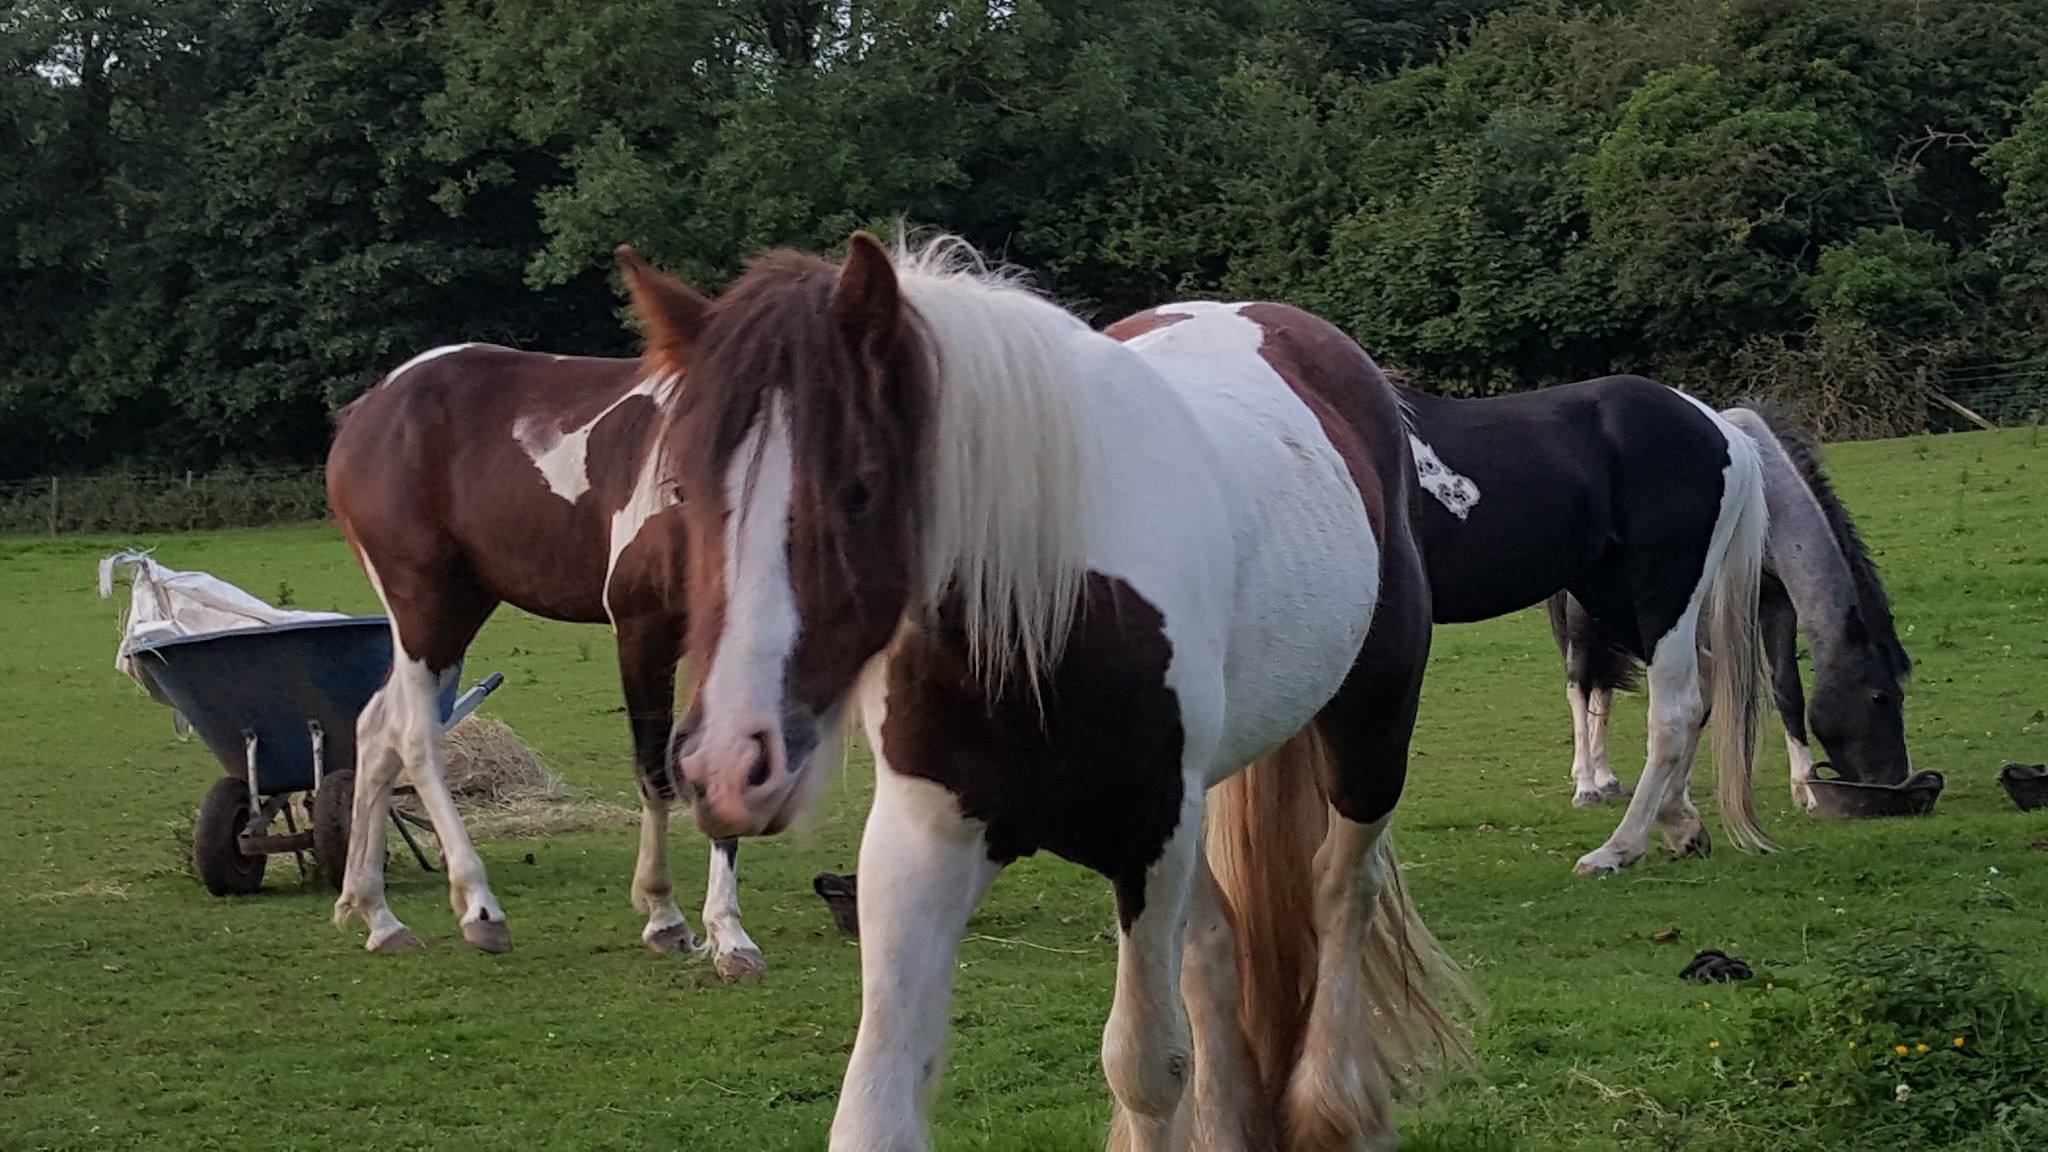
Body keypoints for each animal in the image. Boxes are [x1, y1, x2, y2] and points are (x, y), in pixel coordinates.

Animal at [323, 343, 766, 977]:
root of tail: (371, 407)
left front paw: (729, 935)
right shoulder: (644, 629)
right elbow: (655, 771)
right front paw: (666, 916)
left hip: (457, 610)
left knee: (375, 729)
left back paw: (378, 916)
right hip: (425, 609)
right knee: (413, 736)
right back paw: (479, 908)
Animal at [628, 231, 1469, 1150]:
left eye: (859, 489)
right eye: (683, 490)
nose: (724, 765)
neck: (1046, 616)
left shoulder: (1148, 835)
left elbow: (1145, 1067)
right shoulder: (923, 839)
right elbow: (877, 1103)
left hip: (1369, 733)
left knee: (1340, 892)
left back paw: (1335, 1106)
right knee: (1218, 948)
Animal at [1396, 376, 1775, 874]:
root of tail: (1721, 430)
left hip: (1662, 596)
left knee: (1674, 713)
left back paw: (1617, 849)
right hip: (1612, 602)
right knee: (1703, 684)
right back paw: (1679, 822)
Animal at [1547, 403, 1912, 813]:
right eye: (1879, 697)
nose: (1895, 781)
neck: (1766, 495)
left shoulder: (1776, 602)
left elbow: (1787, 688)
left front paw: (1804, 786)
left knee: (1602, 684)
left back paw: (1606, 778)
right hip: (1585, 618)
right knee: (1578, 683)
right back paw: (1586, 785)